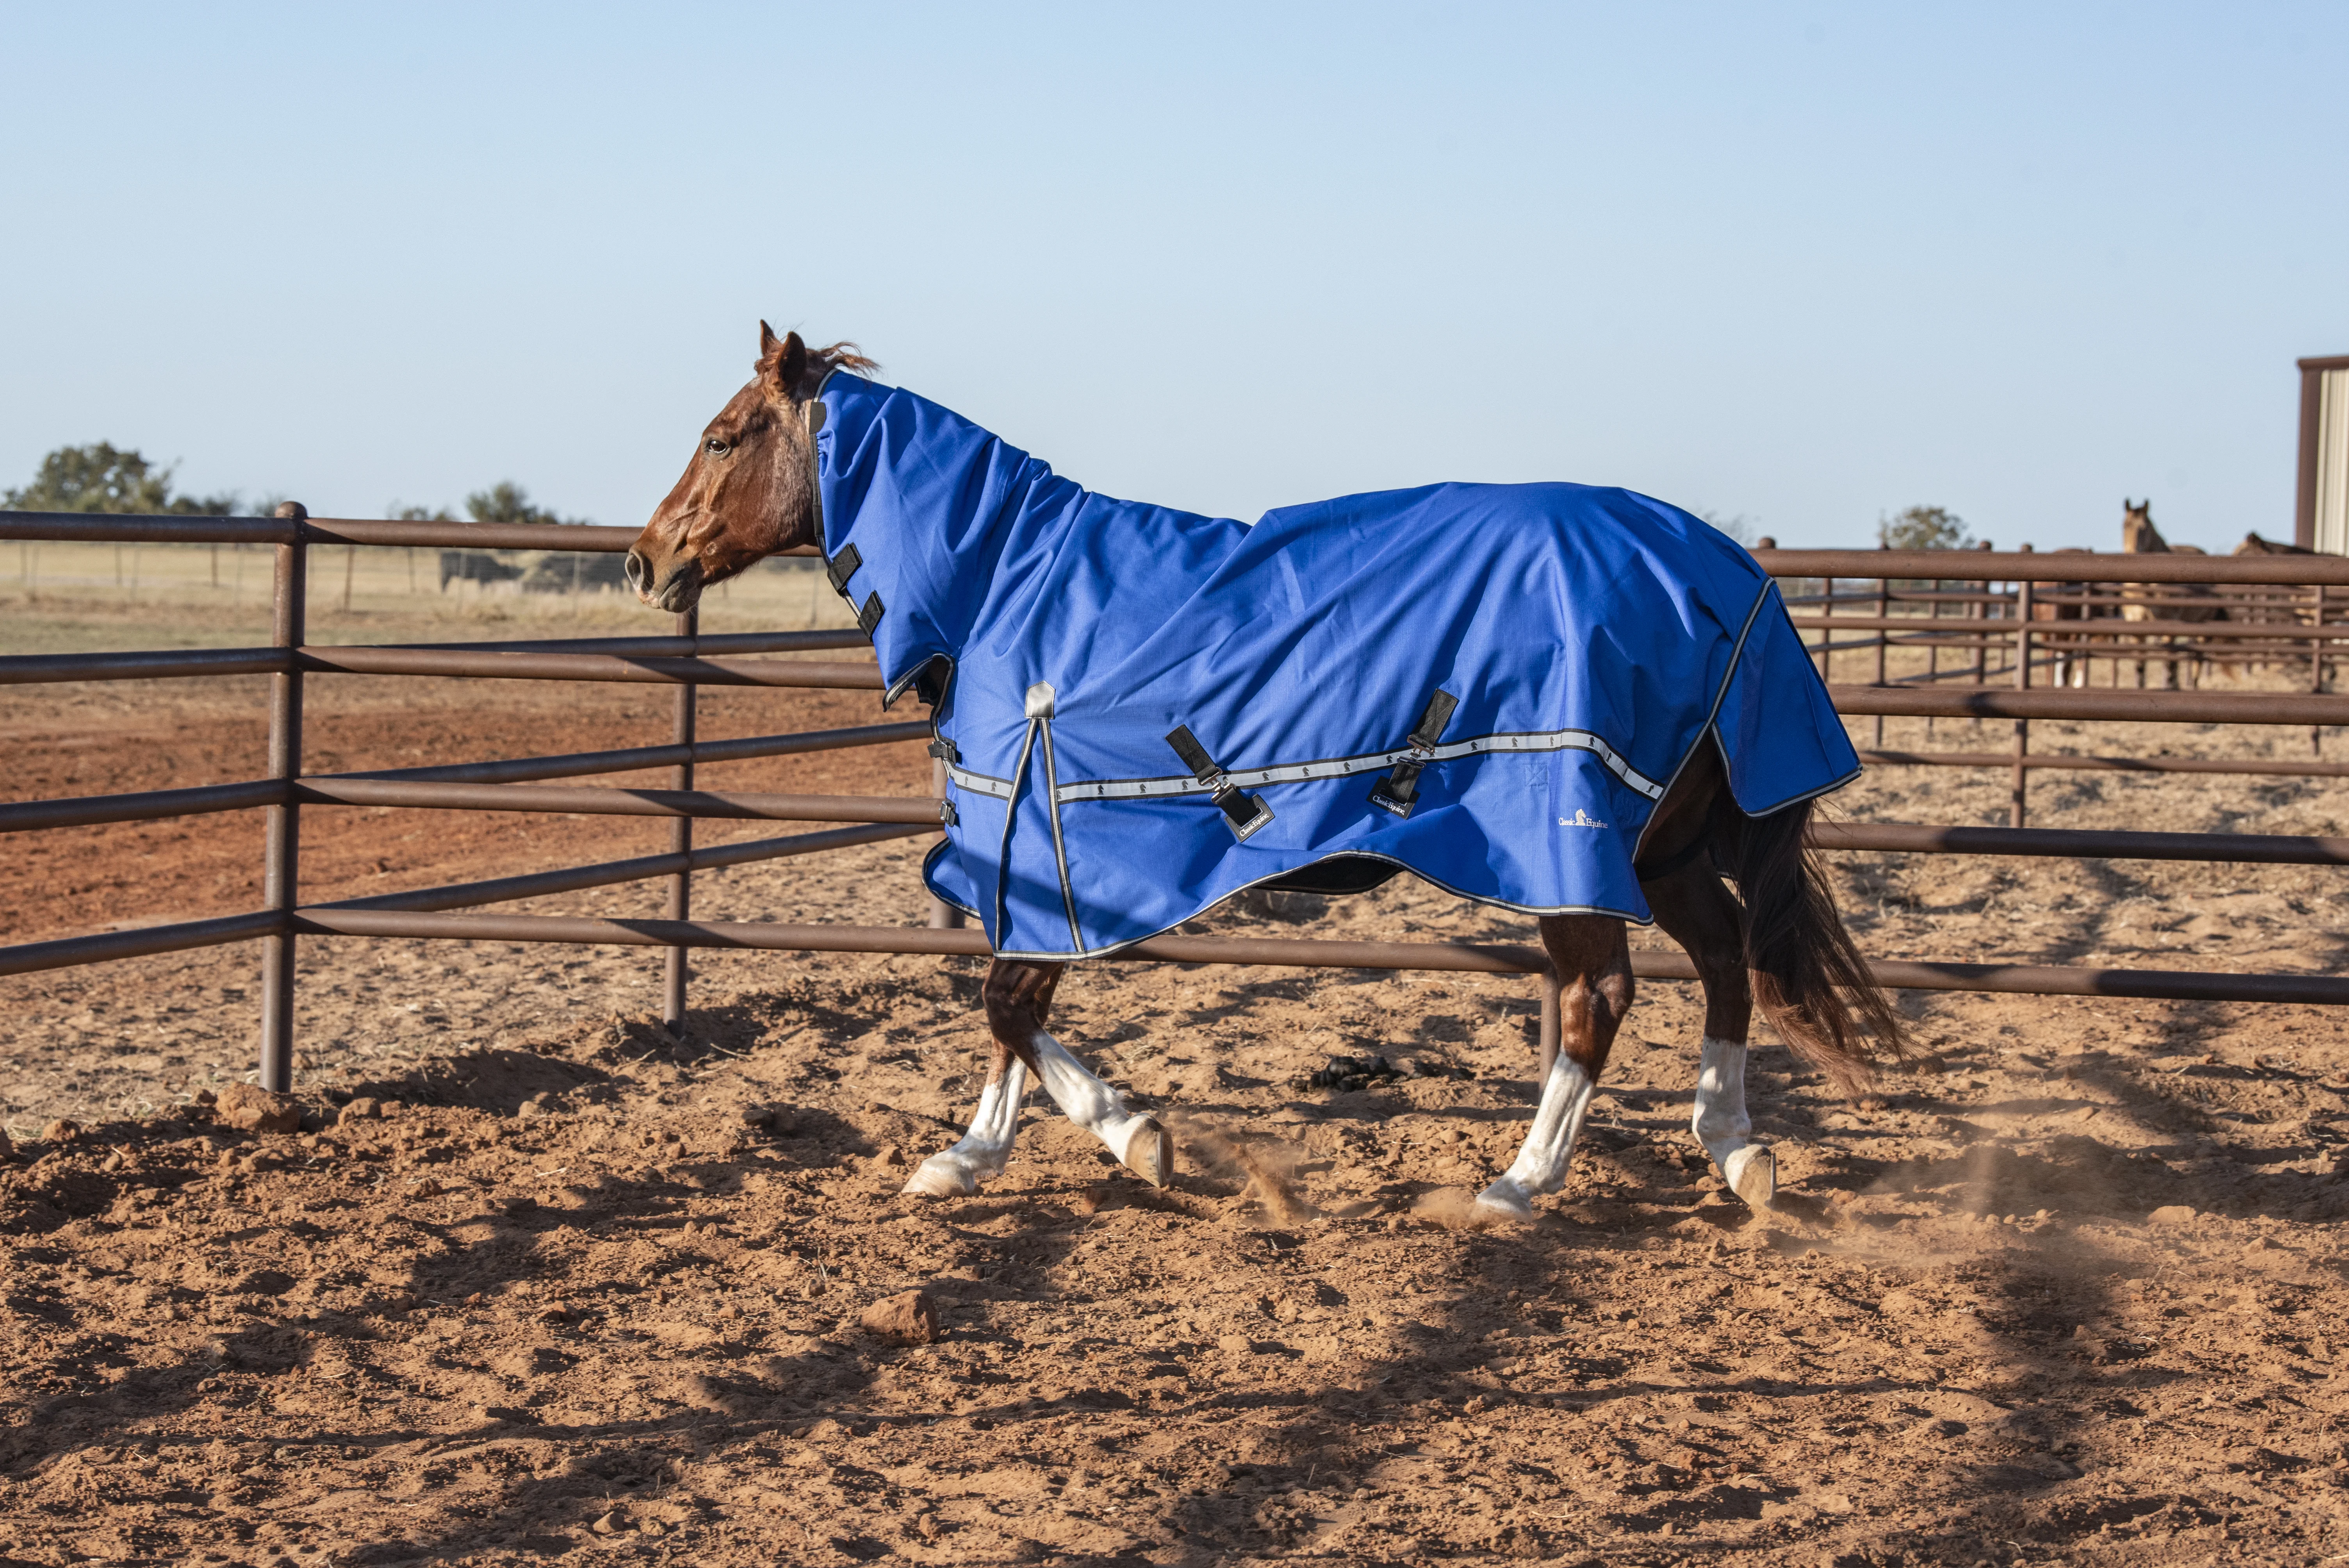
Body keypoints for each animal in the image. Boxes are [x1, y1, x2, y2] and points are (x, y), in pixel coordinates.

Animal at [626, 323, 1907, 1225]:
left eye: (725, 435)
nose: (646, 558)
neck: (1004, 582)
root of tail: (1720, 569)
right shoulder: (1044, 866)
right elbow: (1015, 1009)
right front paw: (1052, 1142)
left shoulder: (1047, 853)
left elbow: (1007, 1002)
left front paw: (1052, 1144)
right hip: (1666, 846)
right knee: (1727, 964)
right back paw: (1733, 1149)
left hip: (1571, 851)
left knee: (1600, 997)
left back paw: (1519, 1183)